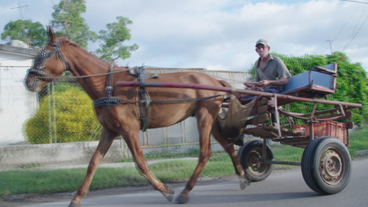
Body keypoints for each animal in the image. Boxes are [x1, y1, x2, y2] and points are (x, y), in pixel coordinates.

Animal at [24, 26, 250, 206]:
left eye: (43, 54)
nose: (28, 81)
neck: (109, 85)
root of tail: (215, 81)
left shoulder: (128, 129)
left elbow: (141, 162)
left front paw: (166, 190)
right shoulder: (110, 131)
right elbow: (93, 163)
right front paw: (77, 198)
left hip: (204, 117)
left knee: (205, 153)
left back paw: (185, 192)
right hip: (211, 120)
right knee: (227, 145)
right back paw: (242, 177)